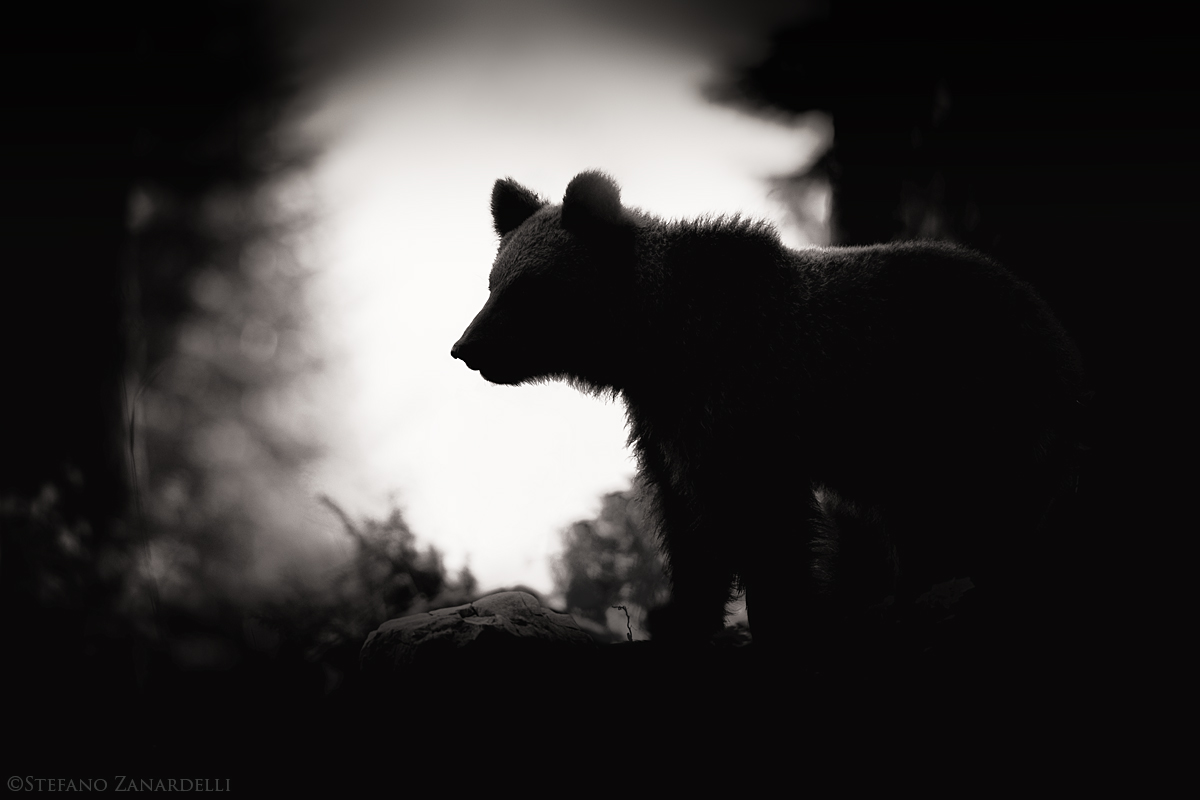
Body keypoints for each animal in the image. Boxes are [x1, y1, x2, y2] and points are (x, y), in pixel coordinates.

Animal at [452, 170, 1084, 650]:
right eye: (493, 281)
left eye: (526, 289)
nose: (465, 348)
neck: (656, 346)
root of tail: (1043, 314)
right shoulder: (666, 428)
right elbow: (688, 527)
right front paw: (684, 621)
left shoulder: (752, 405)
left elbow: (769, 530)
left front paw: (781, 621)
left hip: (976, 413)